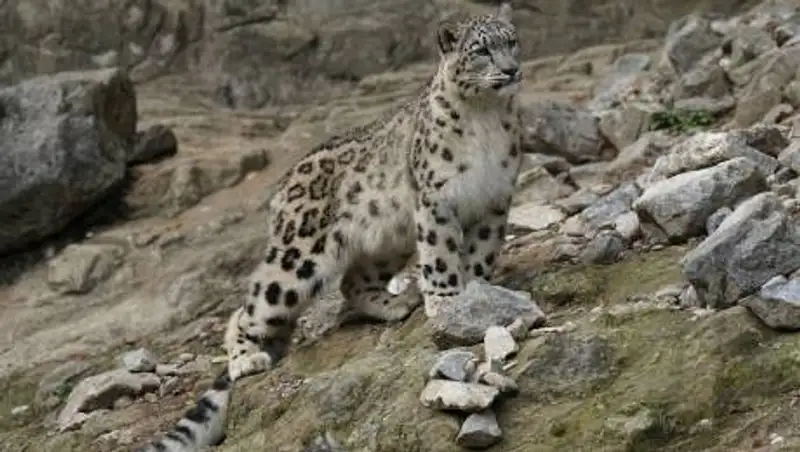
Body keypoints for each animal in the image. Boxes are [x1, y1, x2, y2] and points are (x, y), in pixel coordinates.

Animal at [139, 3, 523, 450]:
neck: (487, 119)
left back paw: (394, 302)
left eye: (512, 41)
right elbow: (441, 255)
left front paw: (479, 294)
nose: (512, 69)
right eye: (481, 50)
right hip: (296, 257)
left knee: (351, 283)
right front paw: (447, 301)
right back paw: (246, 358)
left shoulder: (495, 199)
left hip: (386, 240)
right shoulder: (436, 200)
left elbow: (480, 255)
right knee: (249, 307)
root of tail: (282, 188)